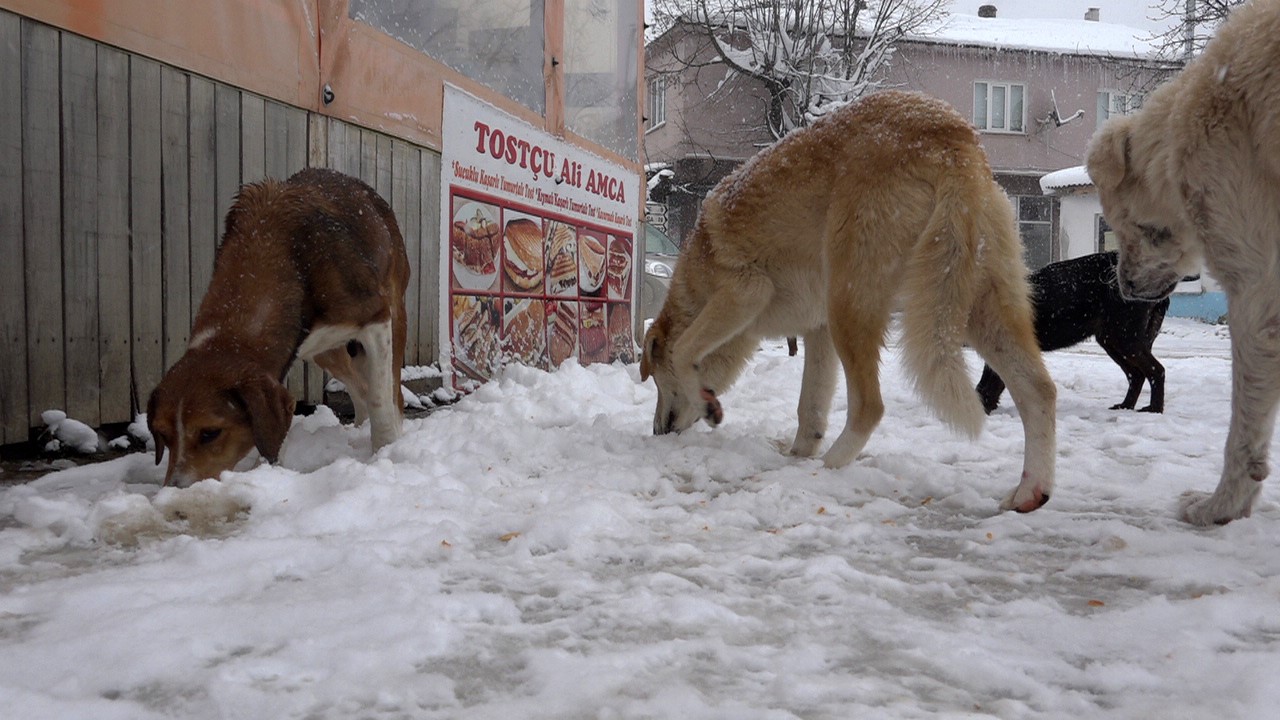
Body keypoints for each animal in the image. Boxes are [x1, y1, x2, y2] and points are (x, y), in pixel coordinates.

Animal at [149, 165, 409, 484]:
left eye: (210, 433)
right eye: (162, 435)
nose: (174, 489)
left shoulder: (377, 319)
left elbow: (380, 400)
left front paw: (385, 450)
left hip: (395, 314)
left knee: (390, 391)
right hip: (324, 351)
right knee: (358, 385)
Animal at [645, 88, 1054, 509]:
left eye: (656, 381)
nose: (658, 432)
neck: (695, 279)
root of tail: (948, 133)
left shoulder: (746, 293)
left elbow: (685, 350)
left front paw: (709, 403)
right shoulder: (818, 330)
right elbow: (810, 408)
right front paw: (797, 454)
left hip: (851, 305)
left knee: (870, 406)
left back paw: (829, 467)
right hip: (973, 310)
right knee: (1039, 391)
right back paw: (1029, 492)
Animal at [977, 249, 1172, 412]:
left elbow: (990, 384)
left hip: (1125, 338)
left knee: (1156, 370)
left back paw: (1154, 409)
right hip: (1111, 340)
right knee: (1136, 374)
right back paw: (1125, 406)